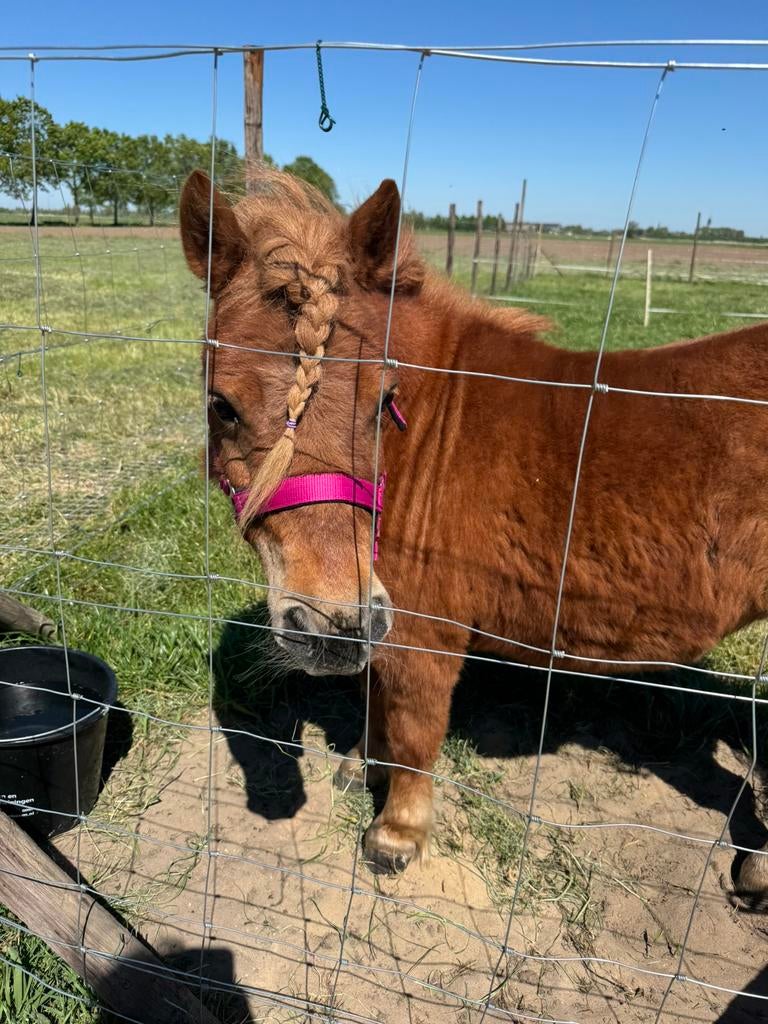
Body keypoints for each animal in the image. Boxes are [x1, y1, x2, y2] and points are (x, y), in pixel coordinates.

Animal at [179, 168, 768, 897]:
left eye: (384, 401)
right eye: (221, 406)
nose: (330, 626)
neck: (430, 435)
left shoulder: (423, 632)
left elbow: (415, 729)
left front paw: (396, 835)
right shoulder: (385, 618)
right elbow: (377, 698)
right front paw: (363, 763)